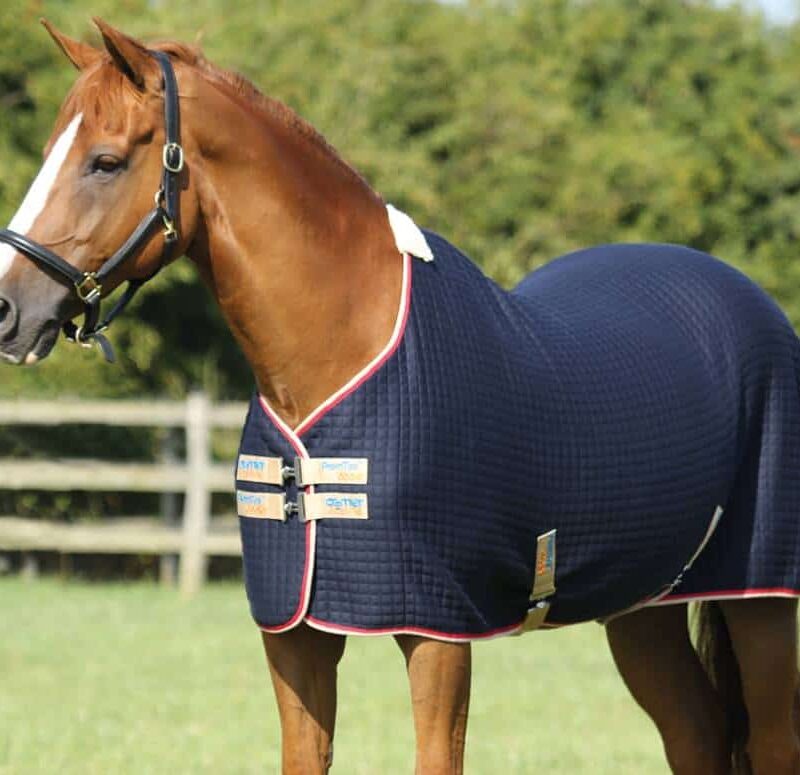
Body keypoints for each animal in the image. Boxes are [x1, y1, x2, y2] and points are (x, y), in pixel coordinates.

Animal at [1, 19, 799, 774]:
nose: (8, 309)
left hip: (760, 606)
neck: (343, 351)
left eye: (106, 161)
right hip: (640, 608)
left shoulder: (437, 628)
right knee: (696, 733)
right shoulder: (294, 632)